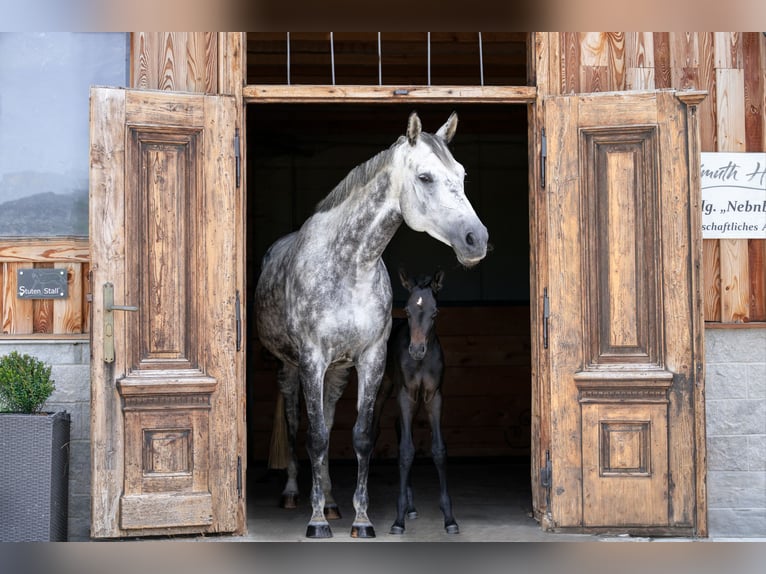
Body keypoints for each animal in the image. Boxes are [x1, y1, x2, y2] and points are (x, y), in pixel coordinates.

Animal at [376, 268, 460, 536]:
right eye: (407, 311)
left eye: (435, 312)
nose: (416, 350)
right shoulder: (406, 394)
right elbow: (405, 452)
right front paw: (397, 520)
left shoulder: (434, 396)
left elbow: (439, 450)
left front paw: (450, 519)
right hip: (383, 389)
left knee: (400, 428)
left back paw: (411, 507)